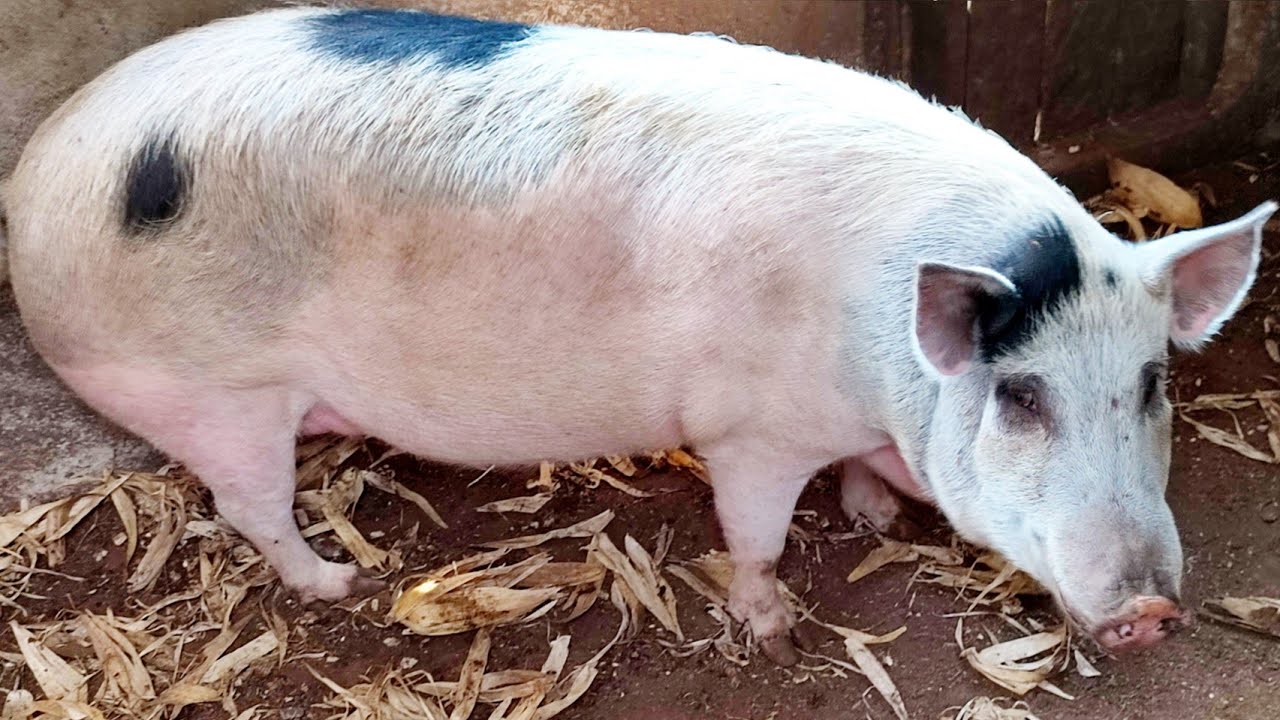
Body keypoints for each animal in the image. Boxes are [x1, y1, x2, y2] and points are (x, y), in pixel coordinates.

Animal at [3, 6, 1275, 666]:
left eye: (1149, 384)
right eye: (1018, 396)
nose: (1152, 612)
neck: (874, 348)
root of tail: (36, 174)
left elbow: (865, 474)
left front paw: (871, 511)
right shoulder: (750, 427)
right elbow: (753, 530)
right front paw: (772, 624)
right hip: (218, 391)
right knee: (246, 503)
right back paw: (340, 582)